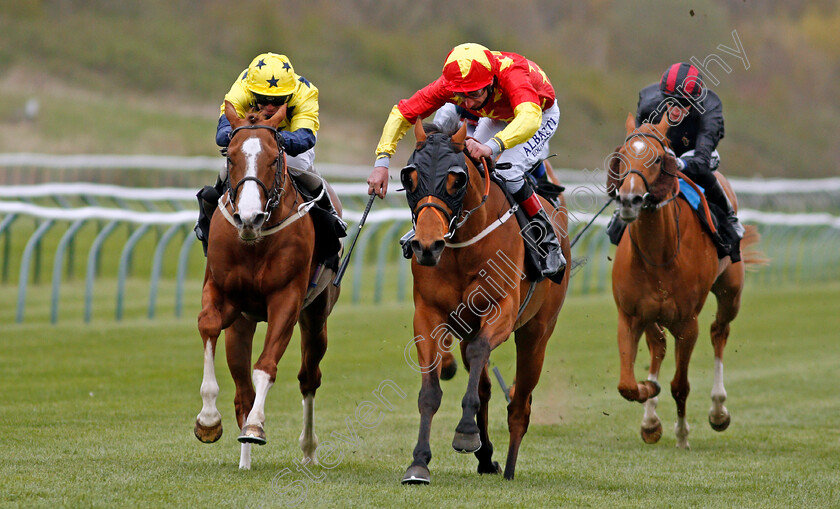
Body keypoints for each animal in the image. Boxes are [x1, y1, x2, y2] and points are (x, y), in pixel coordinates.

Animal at [194, 100, 342, 468]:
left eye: (275, 158)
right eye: (231, 156)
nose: (248, 217)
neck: (254, 240)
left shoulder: (286, 299)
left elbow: (266, 367)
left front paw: (256, 427)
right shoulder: (222, 292)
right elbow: (208, 325)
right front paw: (207, 420)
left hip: (316, 317)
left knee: (308, 378)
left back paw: (308, 449)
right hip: (243, 323)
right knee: (243, 391)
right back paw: (244, 461)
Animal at [400, 121, 572, 482]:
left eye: (457, 179)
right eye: (409, 178)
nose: (427, 246)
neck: (462, 247)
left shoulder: (502, 311)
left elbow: (482, 351)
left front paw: (465, 432)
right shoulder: (427, 315)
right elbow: (430, 391)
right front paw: (419, 462)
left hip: (536, 333)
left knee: (520, 404)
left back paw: (507, 467)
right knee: (484, 385)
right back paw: (486, 456)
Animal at [612, 112, 760, 448]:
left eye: (657, 159)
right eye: (623, 157)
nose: (629, 200)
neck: (659, 254)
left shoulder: (687, 323)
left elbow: (680, 385)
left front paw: (682, 434)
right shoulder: (630, 315)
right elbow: (627, 385)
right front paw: (649, 398)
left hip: (731, 292)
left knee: (719, 331)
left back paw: (718, 410)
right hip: (652, 316)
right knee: (658, 346)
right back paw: (650, 419)